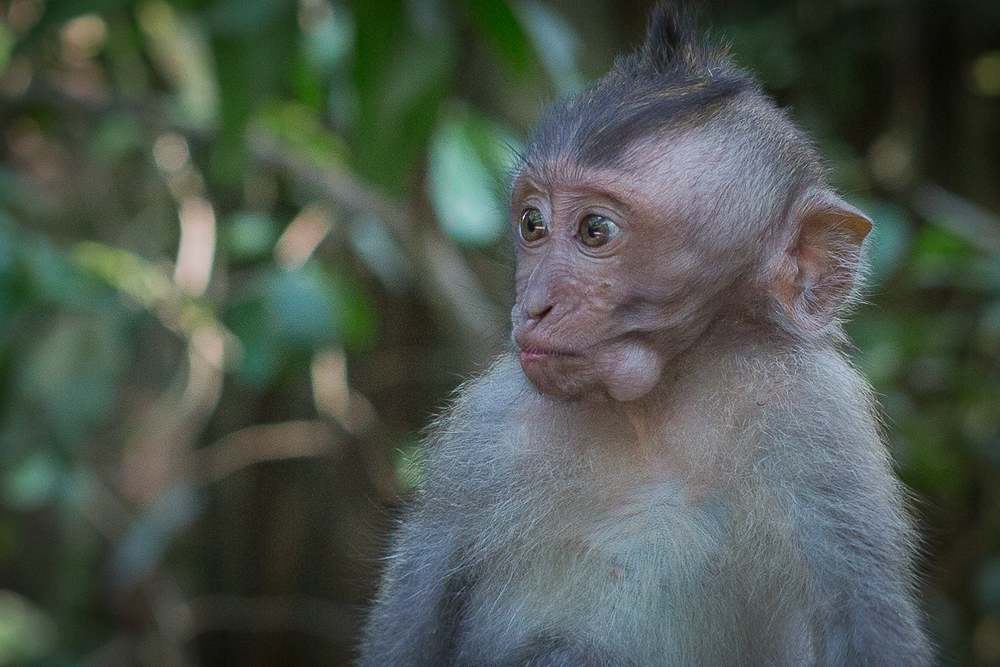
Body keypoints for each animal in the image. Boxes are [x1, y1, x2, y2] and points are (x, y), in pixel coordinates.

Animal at [357, 3, 933, 666]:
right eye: (532, 223)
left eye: (595, 230)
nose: (533, 306)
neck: (654, 415)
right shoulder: (483, 435)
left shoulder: (821, 421)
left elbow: (862, 624)